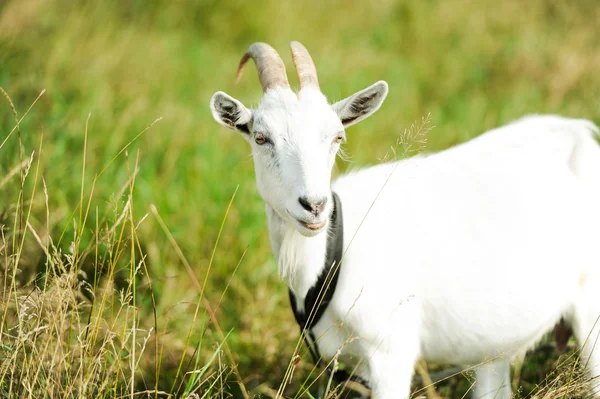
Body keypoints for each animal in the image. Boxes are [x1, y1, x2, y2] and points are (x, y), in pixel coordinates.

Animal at [210, 42, 600, 398]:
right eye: (261, 137)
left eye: (337, 136)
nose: (315, 205)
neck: (334, 252)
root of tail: (580, 133)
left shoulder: (390, 351)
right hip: (493, 349)